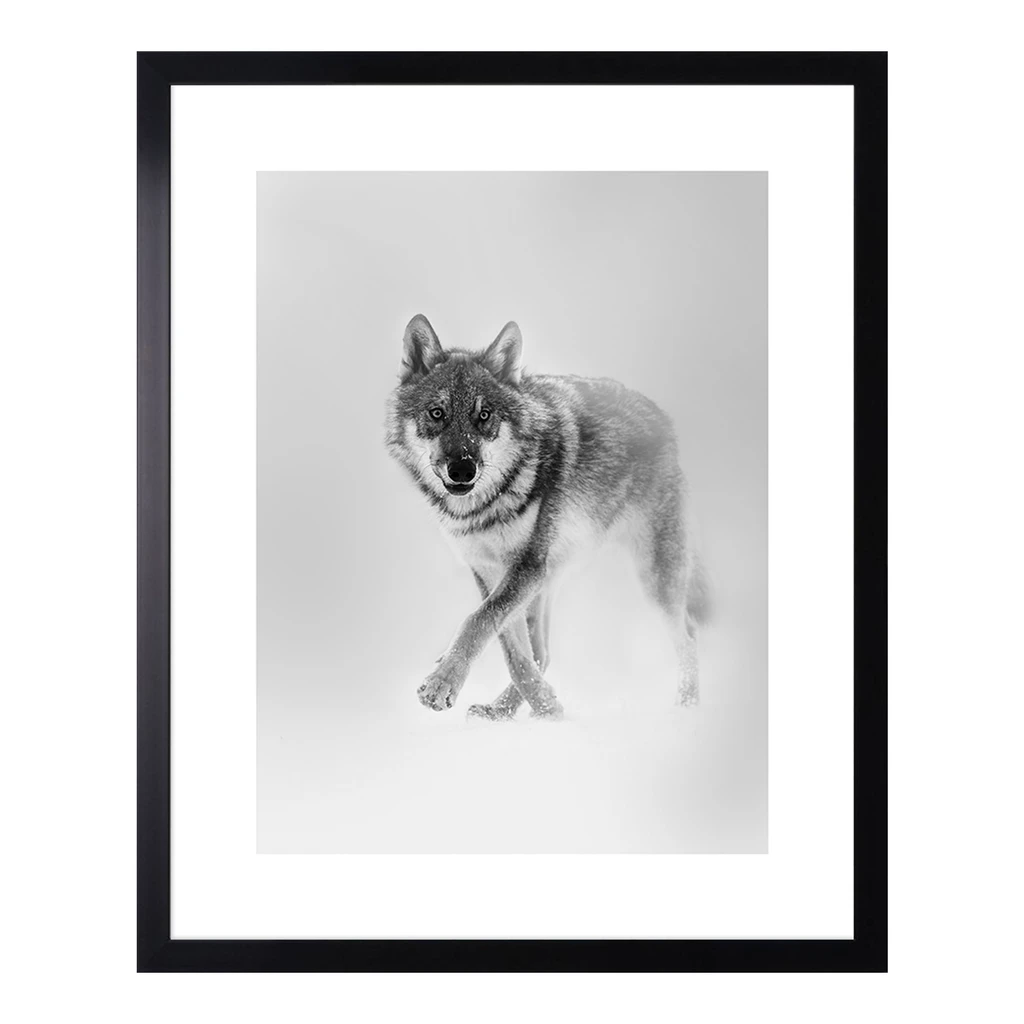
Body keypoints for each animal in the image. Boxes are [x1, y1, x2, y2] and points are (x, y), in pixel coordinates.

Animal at [385, 314, 708, 720]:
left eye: (484, 416)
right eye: (437, 413)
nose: (462, 469)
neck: (483, 508)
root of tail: (662, 418)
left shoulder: (527, 565)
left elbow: (478, 621)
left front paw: (441, 685)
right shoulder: (491, 570)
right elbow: (510, 648)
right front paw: (546, 706)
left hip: (654, 578)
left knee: (690, 637)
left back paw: (687, 707)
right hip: (551, 578)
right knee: (542, 651)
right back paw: (506, 711)